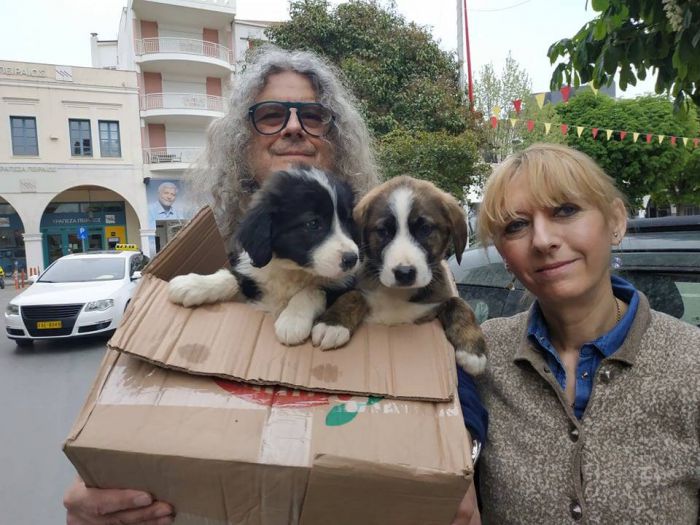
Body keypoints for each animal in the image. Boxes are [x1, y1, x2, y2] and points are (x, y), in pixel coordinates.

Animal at [167, 168, 358, 346]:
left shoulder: (344, 283)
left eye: (348, 221)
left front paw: (292, 320)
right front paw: (193, 284)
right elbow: (232, 277)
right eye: (313, 223)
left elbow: (312, 289)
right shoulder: (252, 275)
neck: (292, 269)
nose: (352, 259)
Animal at [312, 175, 486, 372]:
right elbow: (353, 295)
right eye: (383, 231)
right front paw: (332, 324)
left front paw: (473, 350)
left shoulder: (433, 304)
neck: (398, 294)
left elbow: (459, 303)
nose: (404, 273)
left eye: (425, 229)